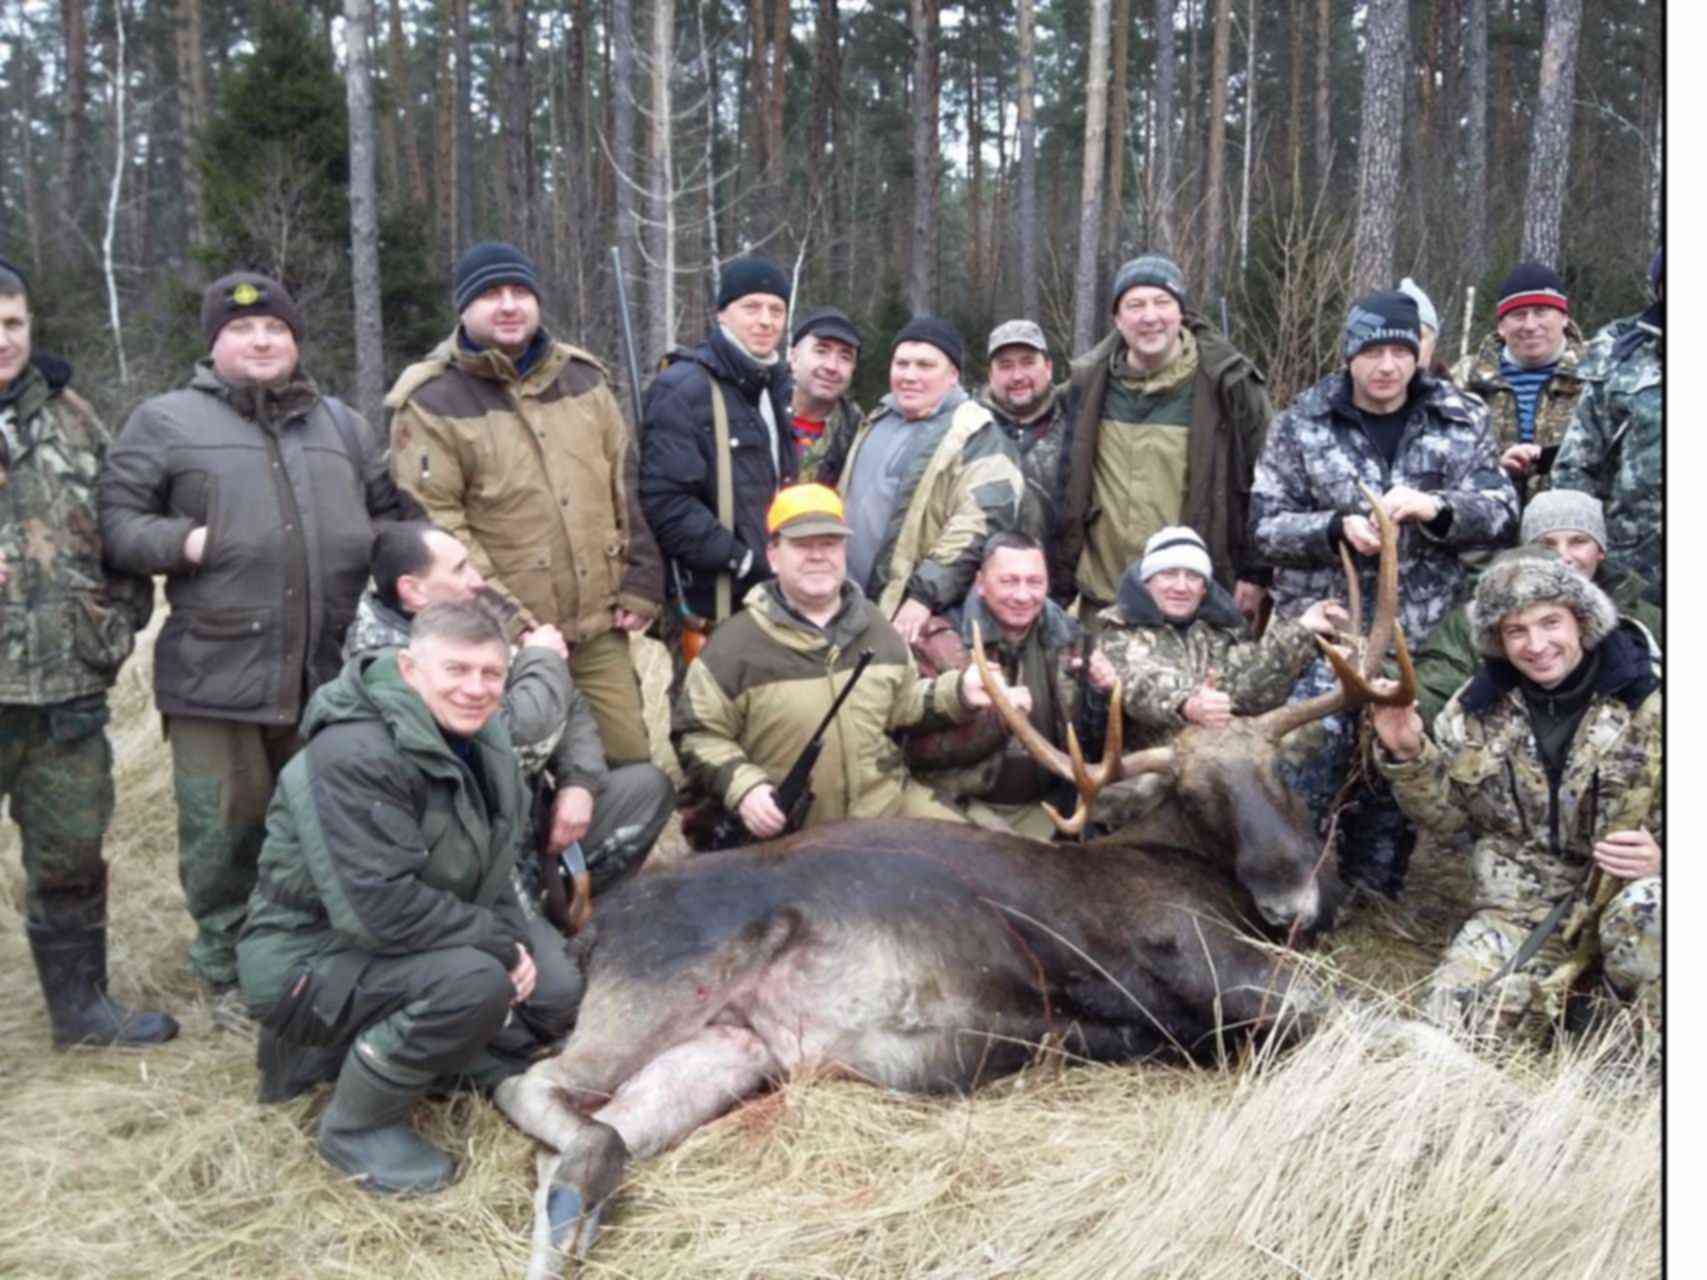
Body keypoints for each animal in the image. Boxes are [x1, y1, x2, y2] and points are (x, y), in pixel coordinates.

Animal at [495, 501, 1413, 1276]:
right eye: (1196, 794)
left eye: (1276, 772)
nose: (1295, 900)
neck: (1191, 866)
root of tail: (593, 927)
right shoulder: (1198, 958)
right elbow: (1387, 1022)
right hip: (666, 980)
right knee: (531, 1084)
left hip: (727, 1049)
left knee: (578, 1133)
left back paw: (575, 1214)